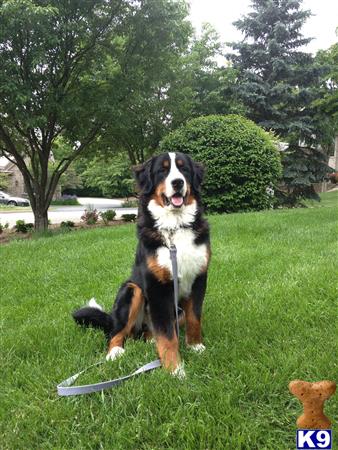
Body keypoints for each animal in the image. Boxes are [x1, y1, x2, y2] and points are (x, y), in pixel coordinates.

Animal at [73, 153, 210, 378]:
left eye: (184, 169)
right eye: (162, 170)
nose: (178, 182)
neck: (175, 228)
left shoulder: (198, 279)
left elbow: (194, 318)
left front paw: (195, 346)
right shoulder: (157, 288)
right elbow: (167, 336)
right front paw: (175, 370)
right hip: (132, 289)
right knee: (116, 332)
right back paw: (115, 352)